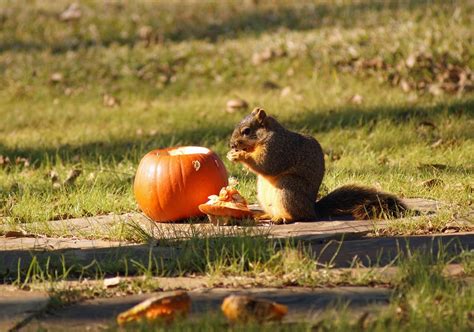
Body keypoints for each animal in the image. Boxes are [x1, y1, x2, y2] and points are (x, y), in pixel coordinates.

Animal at [226, 107, 408, 223]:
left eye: (247, 131)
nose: (231, 144)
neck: (267, 136)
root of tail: (312, 209)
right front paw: (231, 155)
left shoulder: (278, 149)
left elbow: (266, 165)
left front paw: (240, 155)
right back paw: (266, 216)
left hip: (289, 188)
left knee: (299, 216)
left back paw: (283, 218)